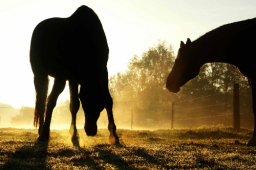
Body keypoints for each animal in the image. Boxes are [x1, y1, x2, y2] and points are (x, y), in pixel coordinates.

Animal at [29, 5, 119, 144]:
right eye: (85, 104)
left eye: (100, 105)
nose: (91, 131)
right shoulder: (69, 77)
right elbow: (71, 104)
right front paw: (72, 134)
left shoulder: (104, 72)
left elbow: (108, 100)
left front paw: (113, 134)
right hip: (41, 74)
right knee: (43, 101)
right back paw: (42, 132)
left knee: (47, 100)